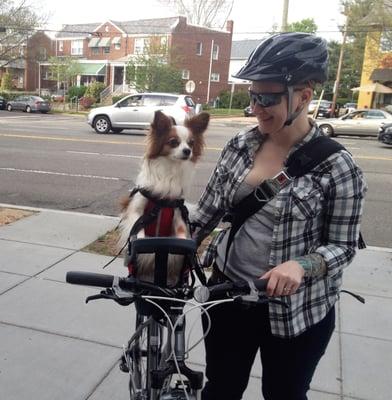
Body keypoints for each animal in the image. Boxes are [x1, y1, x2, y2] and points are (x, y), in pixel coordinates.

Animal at [118, 108, 210, 286]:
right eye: (173, 142)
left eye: (191, 143)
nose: (187, 151)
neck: (170, 169)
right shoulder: (136, 210)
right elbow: (139, 230)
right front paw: (142, 244)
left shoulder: (178, 215)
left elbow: (181, 232)